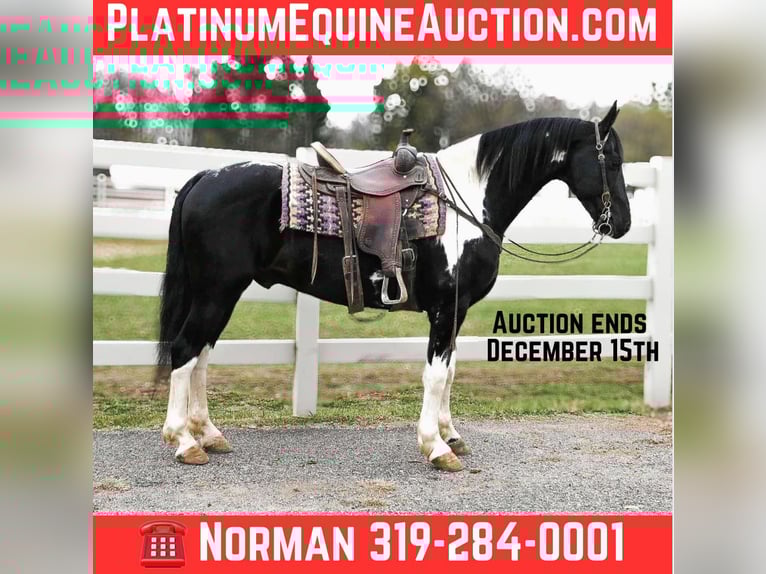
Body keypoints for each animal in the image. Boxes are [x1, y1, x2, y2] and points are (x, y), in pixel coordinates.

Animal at [157, 101, 630, 471]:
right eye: (611, 161)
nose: (622, 224)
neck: (467, 202)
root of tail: (204, 177)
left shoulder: (456, 311)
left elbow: (450, 371)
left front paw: (451, 434)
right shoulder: (445, 308)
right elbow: (436, 375)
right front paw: (436, 447)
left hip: (219, 294)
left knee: (200, 358)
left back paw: (209, 433)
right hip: (217, 291)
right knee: (185, 351)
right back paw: (184, 441)